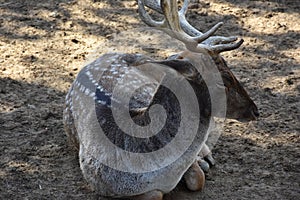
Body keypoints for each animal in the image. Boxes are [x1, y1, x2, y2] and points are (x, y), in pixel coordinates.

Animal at [62, 0, 258, 200]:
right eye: (223, 80)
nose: (255, 110)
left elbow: (198, 179)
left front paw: (201, 162)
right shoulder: (101, 184)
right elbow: (157, 194)